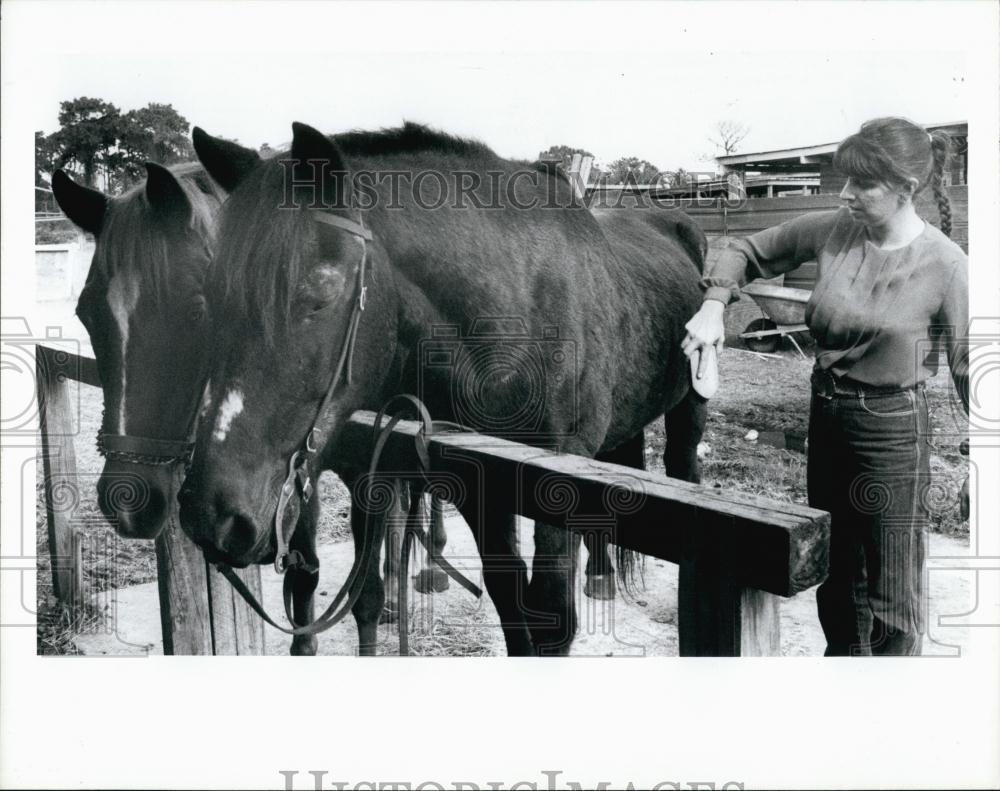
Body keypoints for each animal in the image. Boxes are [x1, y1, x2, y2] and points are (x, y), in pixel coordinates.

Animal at [182, 124, 712, 656]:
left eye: (319, 294)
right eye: (210, 292)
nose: (212, 513)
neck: (520, 318)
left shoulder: (558, 486)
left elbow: (552, 619)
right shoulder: (484, 486)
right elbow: (508, 600)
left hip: (689, 409)